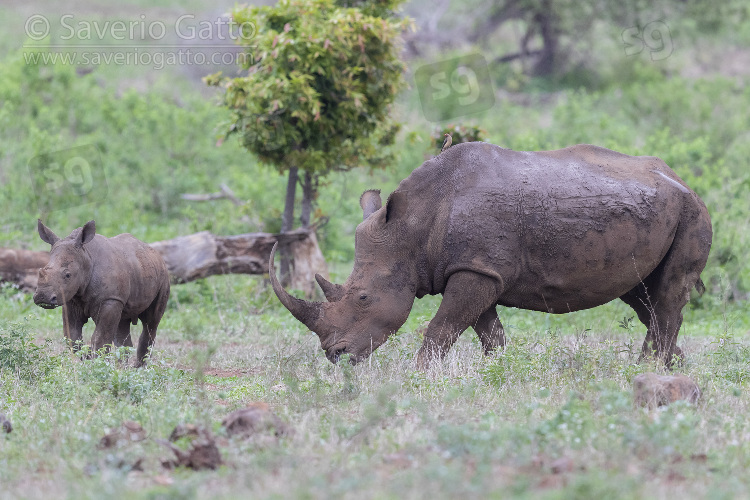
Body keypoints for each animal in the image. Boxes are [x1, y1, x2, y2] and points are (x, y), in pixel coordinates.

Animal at [33, 221, 170, 366]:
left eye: (68, 275)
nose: (42, 296)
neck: (86, 257)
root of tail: (156, 253)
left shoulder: (110, 299)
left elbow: (100, 338)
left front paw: (97, 364)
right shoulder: (71, 299)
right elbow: (73, 337)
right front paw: (88, 359)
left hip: (163, 276)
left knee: (150, 323)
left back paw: (139, 368)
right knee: (122, 324)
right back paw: (123, 367)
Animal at [268, 143, 712, 366]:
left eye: (363, 297)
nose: (335, 356)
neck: (414, 226)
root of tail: (684, 181)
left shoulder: (477, 270)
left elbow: (441, 329)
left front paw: (421, 376)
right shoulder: (478, 269)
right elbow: (487, 332)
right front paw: (495, 372)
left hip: (691, 212)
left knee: (666, 295)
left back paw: (648, 369)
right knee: (643, 296)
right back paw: (673, 364)